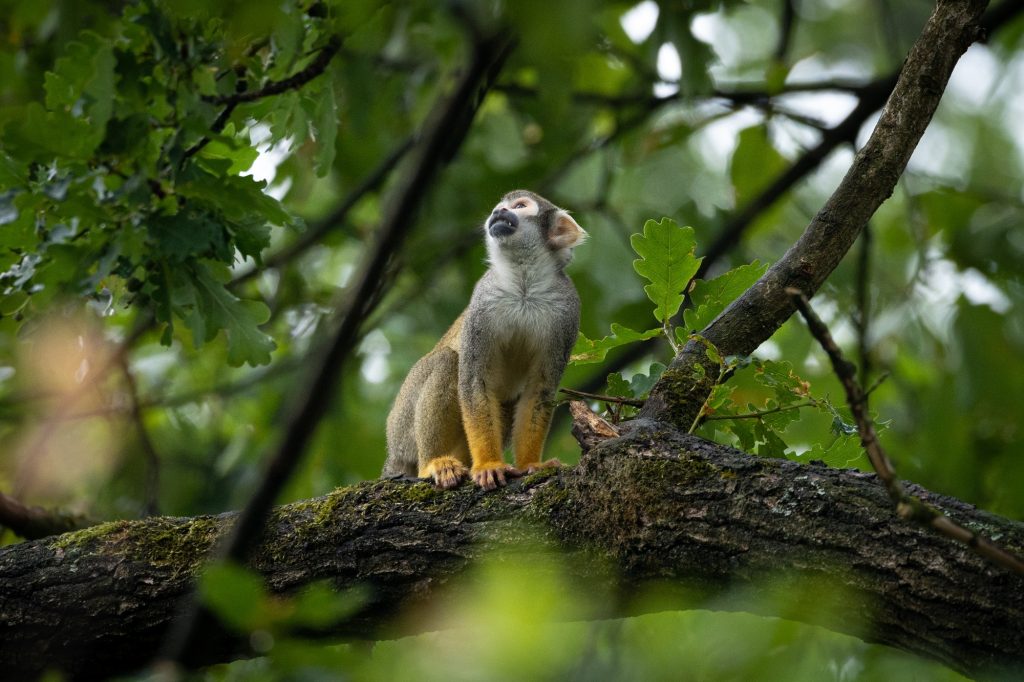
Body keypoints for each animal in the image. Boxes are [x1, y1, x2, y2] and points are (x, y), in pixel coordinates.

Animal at [383, 190, 586, 490]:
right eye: (497, 208)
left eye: (520, 206)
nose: (498, 213)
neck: (524, 284)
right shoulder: (483, 299)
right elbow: (473, 381)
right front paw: (489, 465)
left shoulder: (567, 309)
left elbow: (539, 389)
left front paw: (530, 464)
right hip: (401, 430)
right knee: (447, 362)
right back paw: (433, 463)